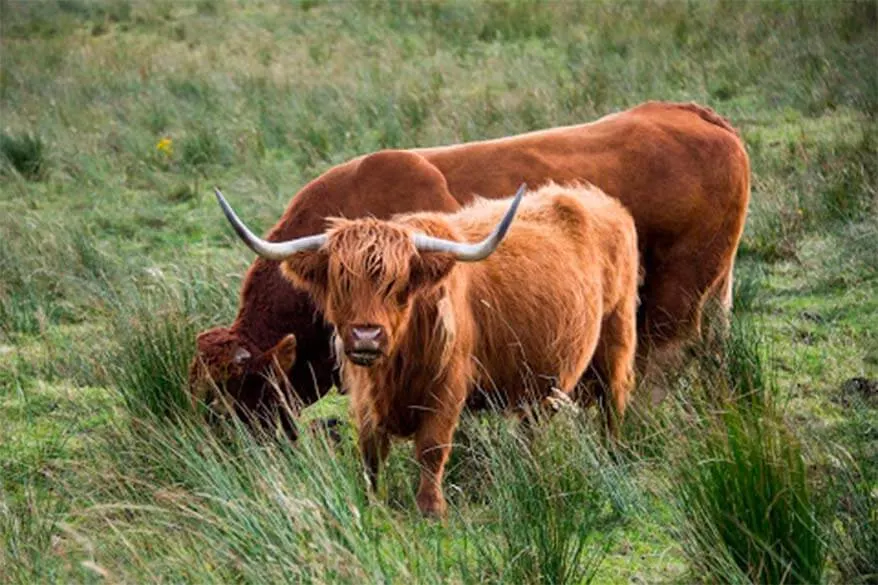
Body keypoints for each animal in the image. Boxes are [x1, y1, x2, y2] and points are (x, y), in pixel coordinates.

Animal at [213, 181, 640, 516]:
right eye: (341, 281)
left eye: (397, 285)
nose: (366, 337)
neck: (397, 362)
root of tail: (599, 199)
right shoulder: (363, 391)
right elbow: (370, 449)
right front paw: (372, 500)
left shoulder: (448, 385)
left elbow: (432, 447)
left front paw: (431, 508)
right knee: (532, 425)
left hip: (616, 335)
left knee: (613, 401)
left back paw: (614, 457)